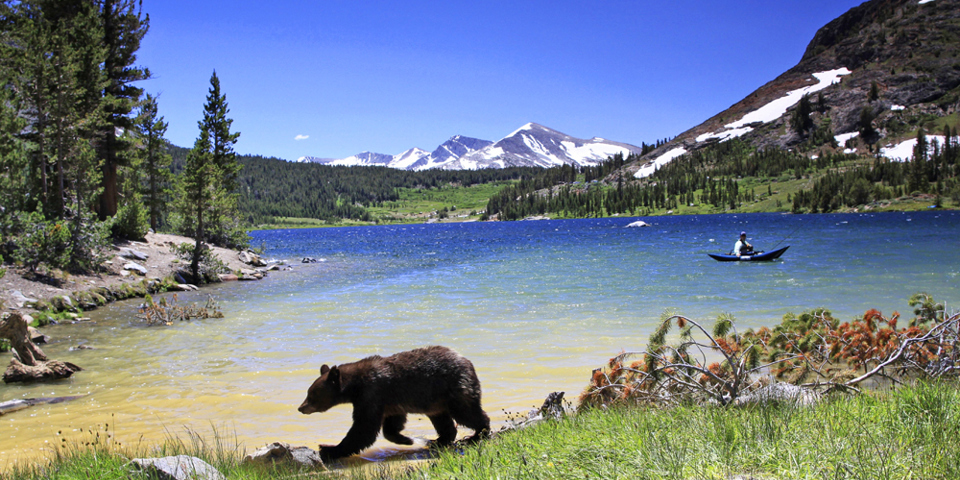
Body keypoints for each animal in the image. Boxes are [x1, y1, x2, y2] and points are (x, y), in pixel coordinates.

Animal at [300, 344, 492, 462]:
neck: (355, 386)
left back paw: (477, 434)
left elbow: (364, 428)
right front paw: (407, 439)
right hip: (435, 400)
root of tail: (468, 362)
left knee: (466, 413)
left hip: (455, 388)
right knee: (443, 419)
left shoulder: (372, 394)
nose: (301, 407)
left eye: (312, 394)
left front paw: (329, 448)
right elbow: (391, 424)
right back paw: (438, 440)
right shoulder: (389, 401)